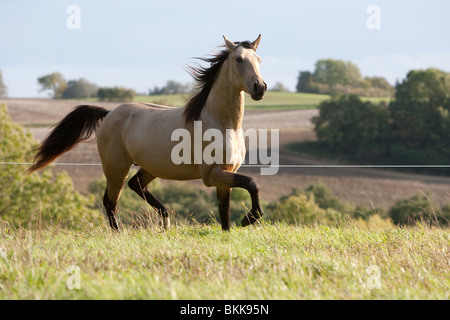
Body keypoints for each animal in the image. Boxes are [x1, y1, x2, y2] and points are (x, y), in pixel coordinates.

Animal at [28, 34, 266, 230]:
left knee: (135, 185)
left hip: (150, 167)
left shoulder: (225, 173)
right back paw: (121, 233)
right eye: (239, 59)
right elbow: (252, 184)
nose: (260, 88)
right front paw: (249, 219)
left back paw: (165, 218)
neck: (222, 123)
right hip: (116, 169)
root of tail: (109, 113)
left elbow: (225, 214)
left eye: (259, 60)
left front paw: (234, 228)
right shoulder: (211, 174)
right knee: (111, 201)